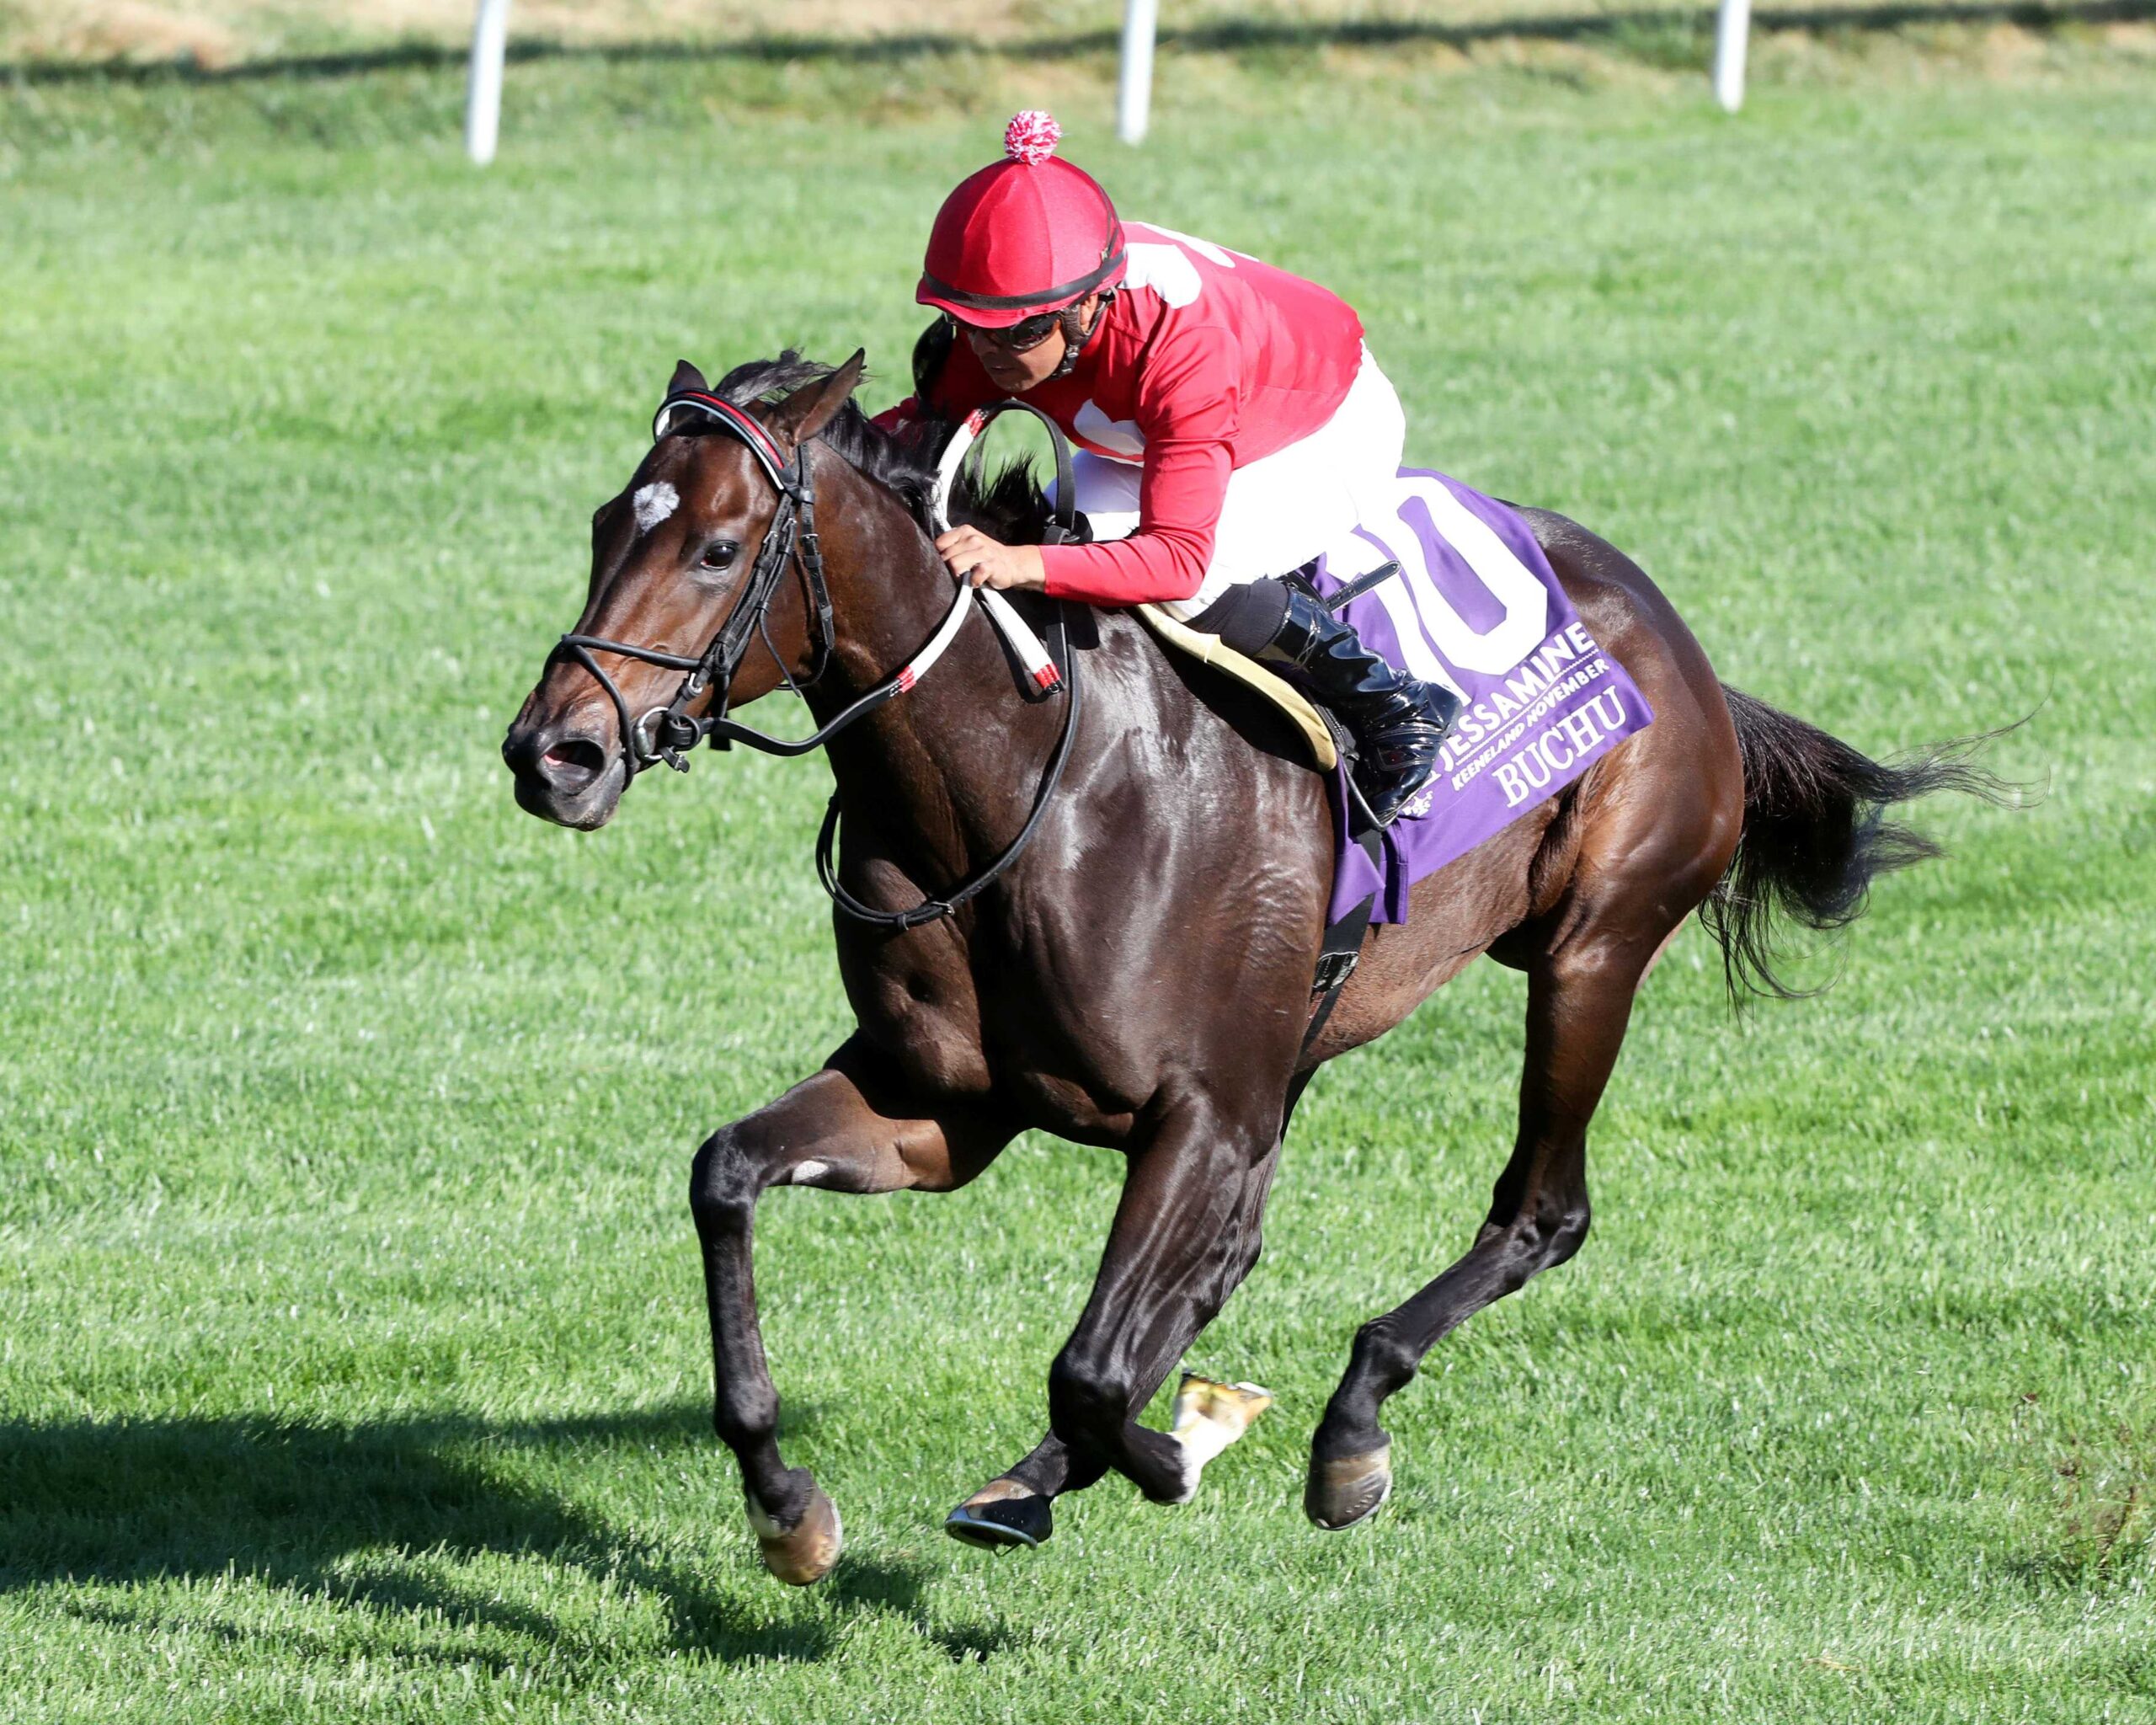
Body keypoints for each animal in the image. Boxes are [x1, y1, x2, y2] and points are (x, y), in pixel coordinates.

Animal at [501, 350, 2001, 1585]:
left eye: (718, 547)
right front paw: (787, 1508)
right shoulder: (948, 1107)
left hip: (1593, 949)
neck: (1018, 793)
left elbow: (1095, 1370)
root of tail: (1664, 623)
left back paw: (1347, 1430)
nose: (553, 753)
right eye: (604, 526)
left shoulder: (1201, 1109)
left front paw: (1183, 1450)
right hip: (1307, 1043)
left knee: (1539, 1213)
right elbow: (727, 1176)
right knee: (1232, 1253)